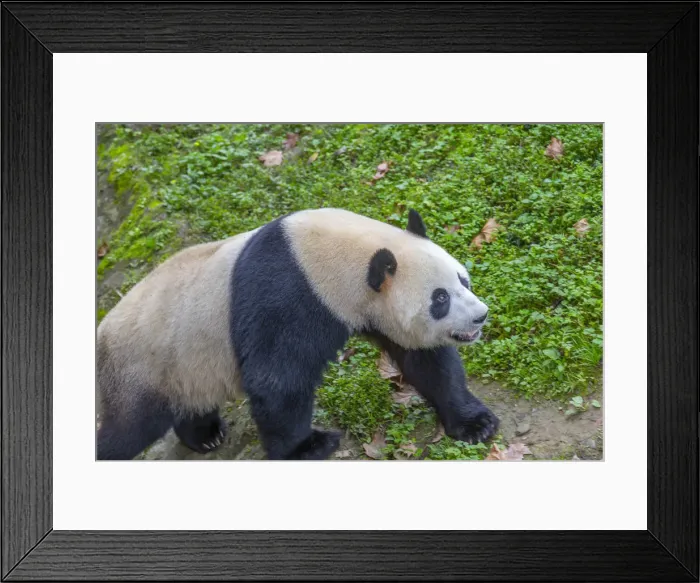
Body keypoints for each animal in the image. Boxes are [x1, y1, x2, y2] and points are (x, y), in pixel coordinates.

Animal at [96, 208, 499, 460]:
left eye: (463, 280)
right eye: (440, 298)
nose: (480, 317)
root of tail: (103, 329)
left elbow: (426, 361)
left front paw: (475, 424)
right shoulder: (291, 295)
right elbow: (277, 379)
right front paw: (307, 447)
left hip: (183, 366)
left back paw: (205, 435)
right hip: (141, 363)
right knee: (130, 428)